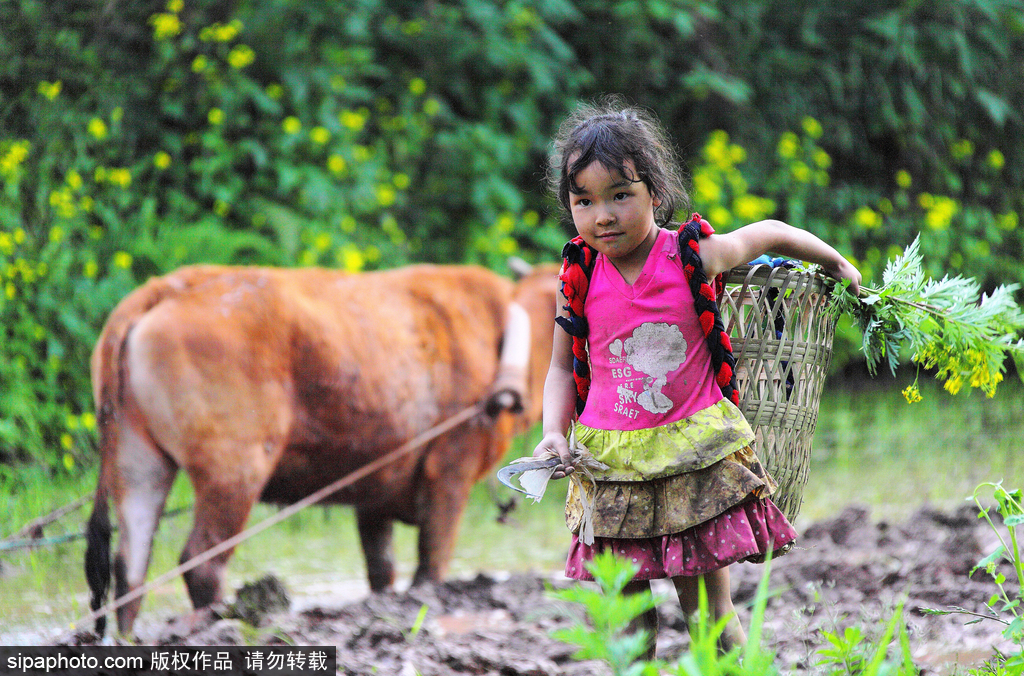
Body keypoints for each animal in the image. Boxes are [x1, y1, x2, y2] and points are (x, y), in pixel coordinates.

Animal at [82, 261, 557, 635]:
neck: (498, 333)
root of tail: (168, 286)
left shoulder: (375, 494)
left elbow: (381, 569)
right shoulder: (450, 472)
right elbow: (431, 564)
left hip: (139, 465)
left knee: (129, 568)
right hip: (235, 472)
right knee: (201, 561)